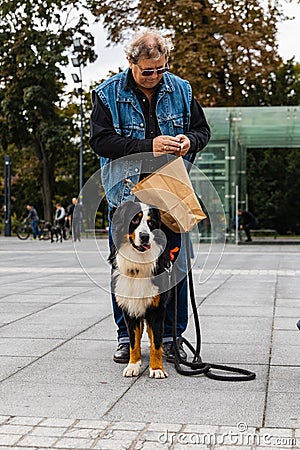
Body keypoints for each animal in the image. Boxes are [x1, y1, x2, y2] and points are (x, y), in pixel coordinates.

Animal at [109, 202, 172, 378]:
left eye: (151, 223)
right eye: (134, 220)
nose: (145, 236)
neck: (138, 265)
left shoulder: (157, 310)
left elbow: (156, 342)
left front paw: (157, 368)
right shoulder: (130, 309)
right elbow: (133, 342)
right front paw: (133, 365)